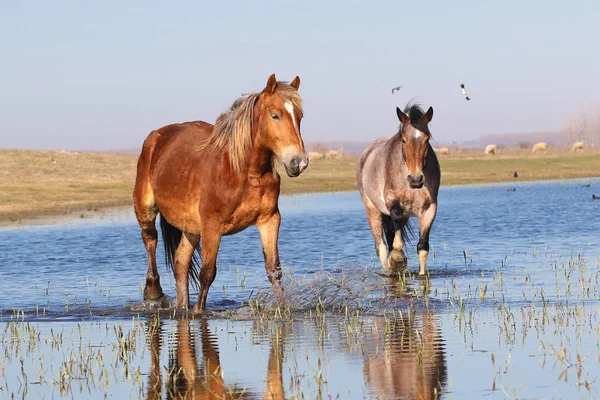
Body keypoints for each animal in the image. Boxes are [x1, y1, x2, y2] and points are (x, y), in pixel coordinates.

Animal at [133, 74, 308, 312]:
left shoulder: (269, 219)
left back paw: (183, 307)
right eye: (275, 115)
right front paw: (199, 312)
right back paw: (154, 293)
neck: (244, 171)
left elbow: (274, 270)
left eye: (299, 116)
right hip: (146, 209)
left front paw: (283, 307)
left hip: (191, 227)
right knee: (150, 239)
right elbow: (207, 273)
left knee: (180, 263)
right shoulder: (212, 226)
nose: (298, 162)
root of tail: (156, 137)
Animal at [356, 104, 440, 276]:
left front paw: (421, 275)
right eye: (404, 139)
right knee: (381, 247)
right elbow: (396, 242)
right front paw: (397, 259)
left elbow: (423, 247)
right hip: (373, 212)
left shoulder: (430, 210)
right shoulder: (394, 205)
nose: (416, 179)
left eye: (427, 139)